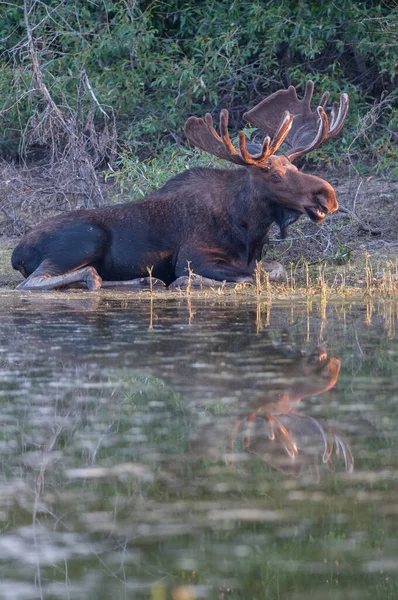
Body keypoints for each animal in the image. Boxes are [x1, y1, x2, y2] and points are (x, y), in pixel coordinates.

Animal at [11, 81, 348, 292]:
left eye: (296, 167)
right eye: (274, 174)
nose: (328, 196)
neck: (249, 228)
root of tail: (16, 252)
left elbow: (274, 271)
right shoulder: (194, 257)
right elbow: (247, 278)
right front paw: (186, 282)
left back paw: (143, 282)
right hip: (84, 241)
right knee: (31, 283)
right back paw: (95, 278)